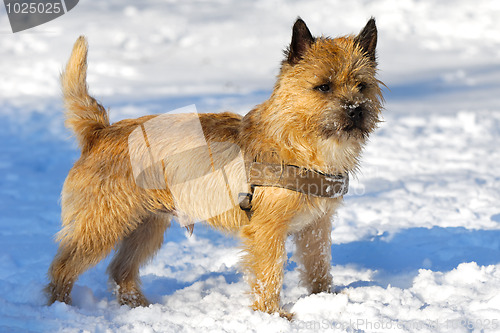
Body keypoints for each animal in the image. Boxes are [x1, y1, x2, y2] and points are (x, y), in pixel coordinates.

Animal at [47, 16, 382, 318]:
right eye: (323, 86)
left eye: (361, 85)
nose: (356, 110)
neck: (302, 143)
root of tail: (99, 131)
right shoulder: (268, 230)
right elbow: (270, 274)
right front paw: (272, 314)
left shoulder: (316, 227)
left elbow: (319, 267)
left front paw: (325, 300)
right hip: (101, 225)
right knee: (63, 266)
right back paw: (59, 309)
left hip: (147, 226)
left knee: (121, 270)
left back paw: (140, 307)